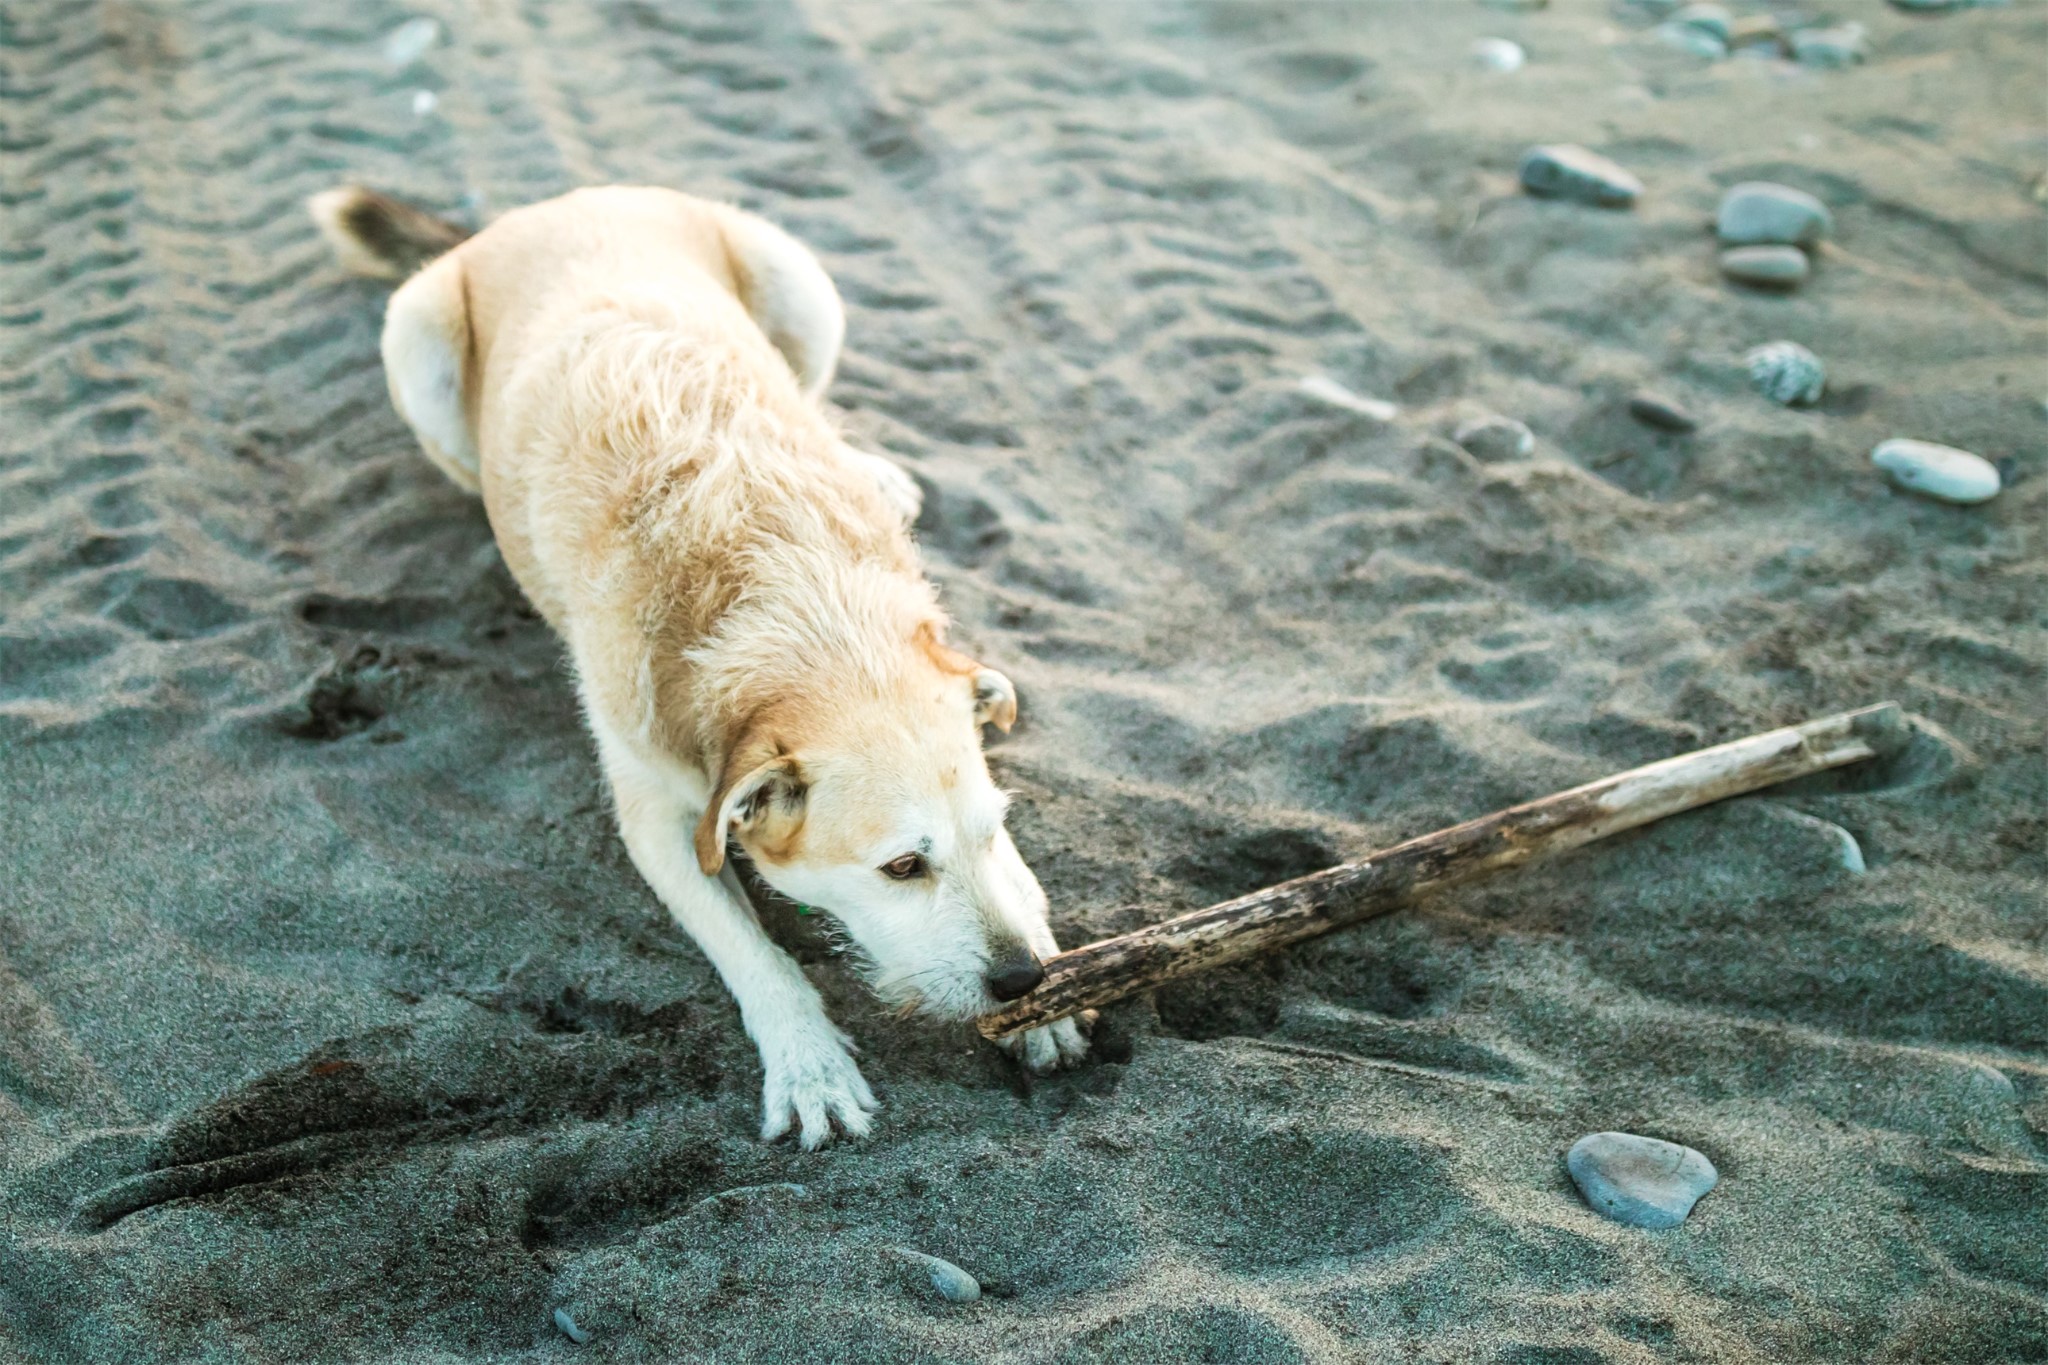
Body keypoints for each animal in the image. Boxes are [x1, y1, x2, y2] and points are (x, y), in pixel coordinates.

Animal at [307, 187, 1089, 1146]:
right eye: (903, 867)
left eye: (991, 832)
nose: (1021, 982)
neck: (794, 602)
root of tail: (540, 207)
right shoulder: (658, 817)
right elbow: (753, 952)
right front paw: (809, 1061)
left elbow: (1021, 884)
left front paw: (1050, 981)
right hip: (415, 336)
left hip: (798, 283)